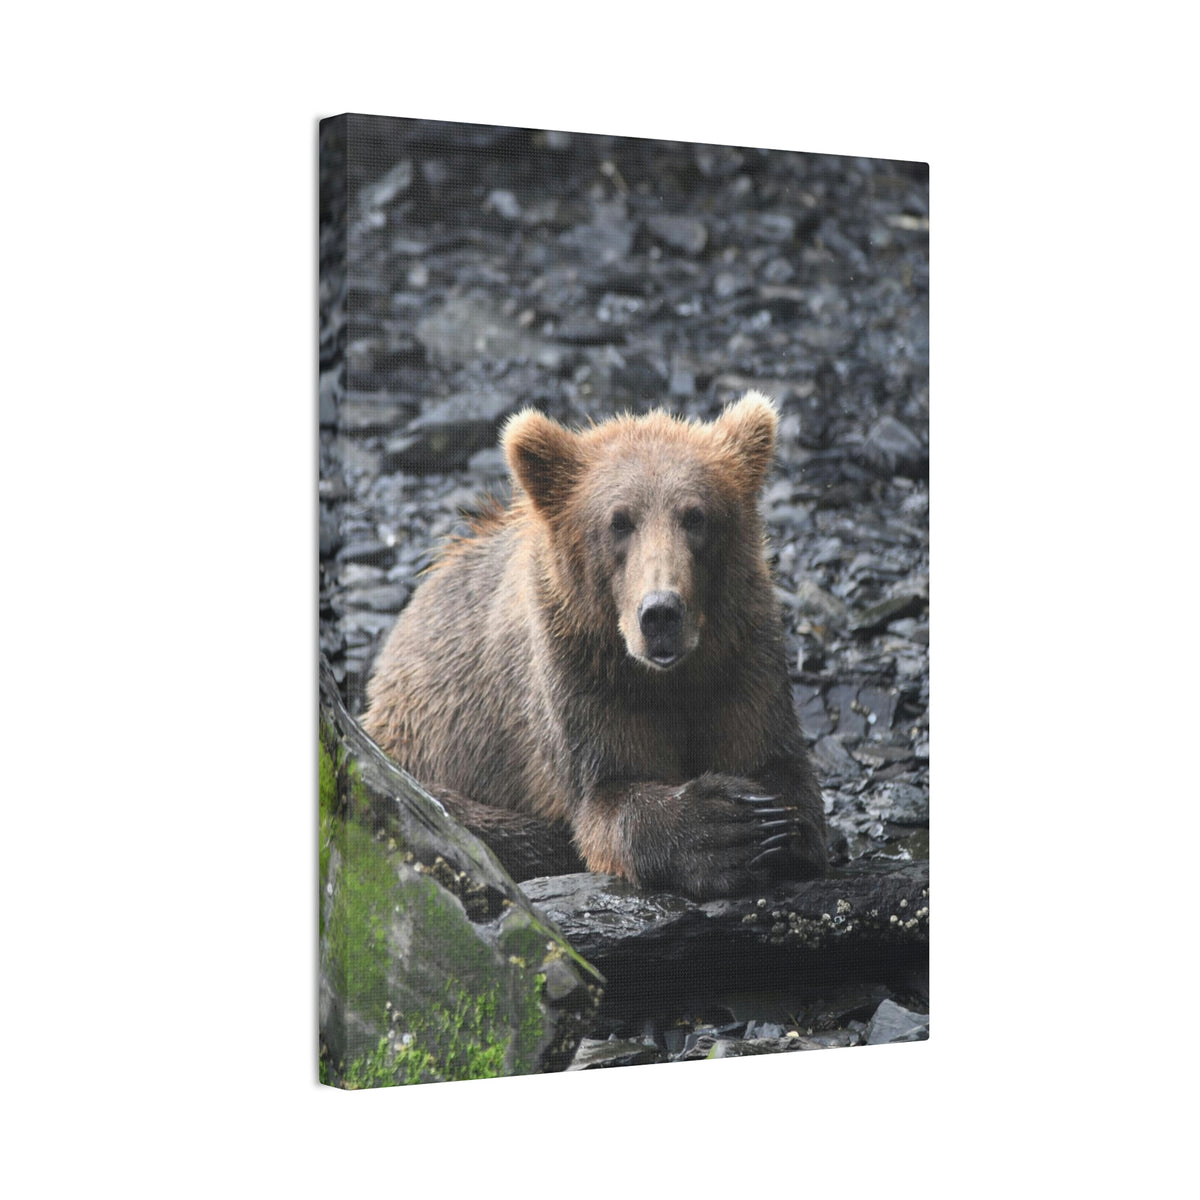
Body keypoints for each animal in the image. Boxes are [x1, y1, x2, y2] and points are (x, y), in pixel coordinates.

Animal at [362, 391, 827, 900]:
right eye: (619, 521)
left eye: (695, 516)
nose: (660, 613)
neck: (669, 678)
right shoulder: (581, 676)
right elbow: (608, 795)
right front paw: (724, 828)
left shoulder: (742, 655)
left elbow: (779, 765)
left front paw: (773, 824)